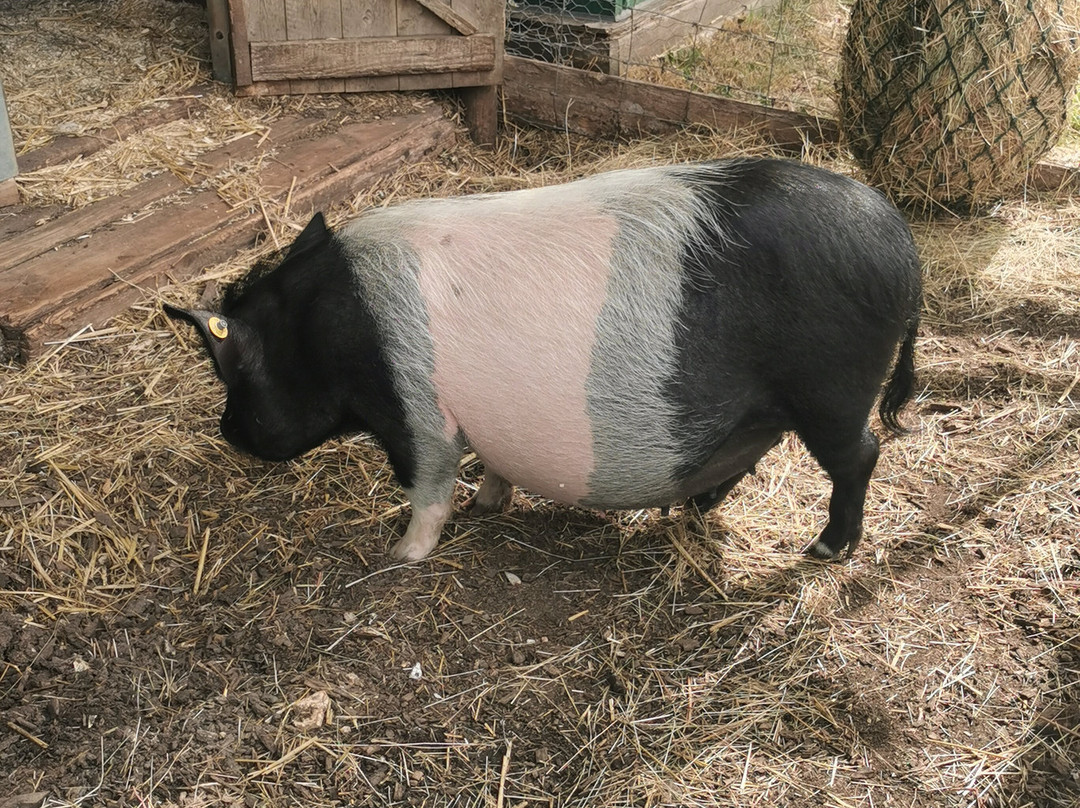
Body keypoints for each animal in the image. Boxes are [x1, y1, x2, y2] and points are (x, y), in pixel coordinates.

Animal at [164, 157, 921, 563]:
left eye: (232, 371)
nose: (226, 430)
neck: (320, 333)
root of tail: (903, 248)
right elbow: (490, 462)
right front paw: (489, 501)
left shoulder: (414, 408)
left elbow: (427, 484)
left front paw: (402, 555)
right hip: (778, 403)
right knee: (754, 447)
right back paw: (693, 508)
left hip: (833, 390)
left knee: (863, 454)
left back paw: (824, 550)